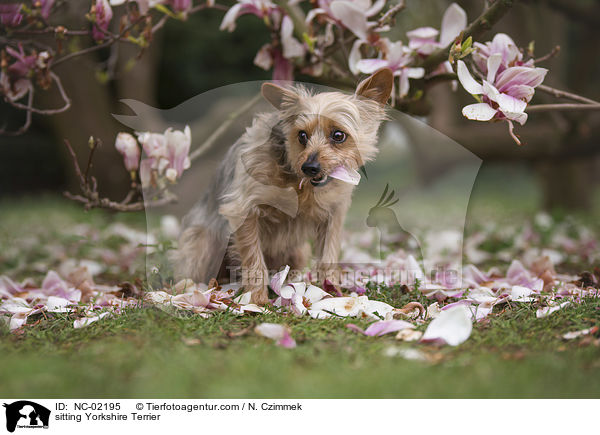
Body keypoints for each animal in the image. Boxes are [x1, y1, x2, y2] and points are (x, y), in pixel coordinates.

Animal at [175, 69, 394, 306]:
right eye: (302, 135)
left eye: (338, 135)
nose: (309, 167)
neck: (301, 185)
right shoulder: (243, 210)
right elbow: (254, 259)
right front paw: (256, 299)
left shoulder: (333, 215)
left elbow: (328, 256)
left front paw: (333, 292)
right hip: (203, 245)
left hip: (298, 253)